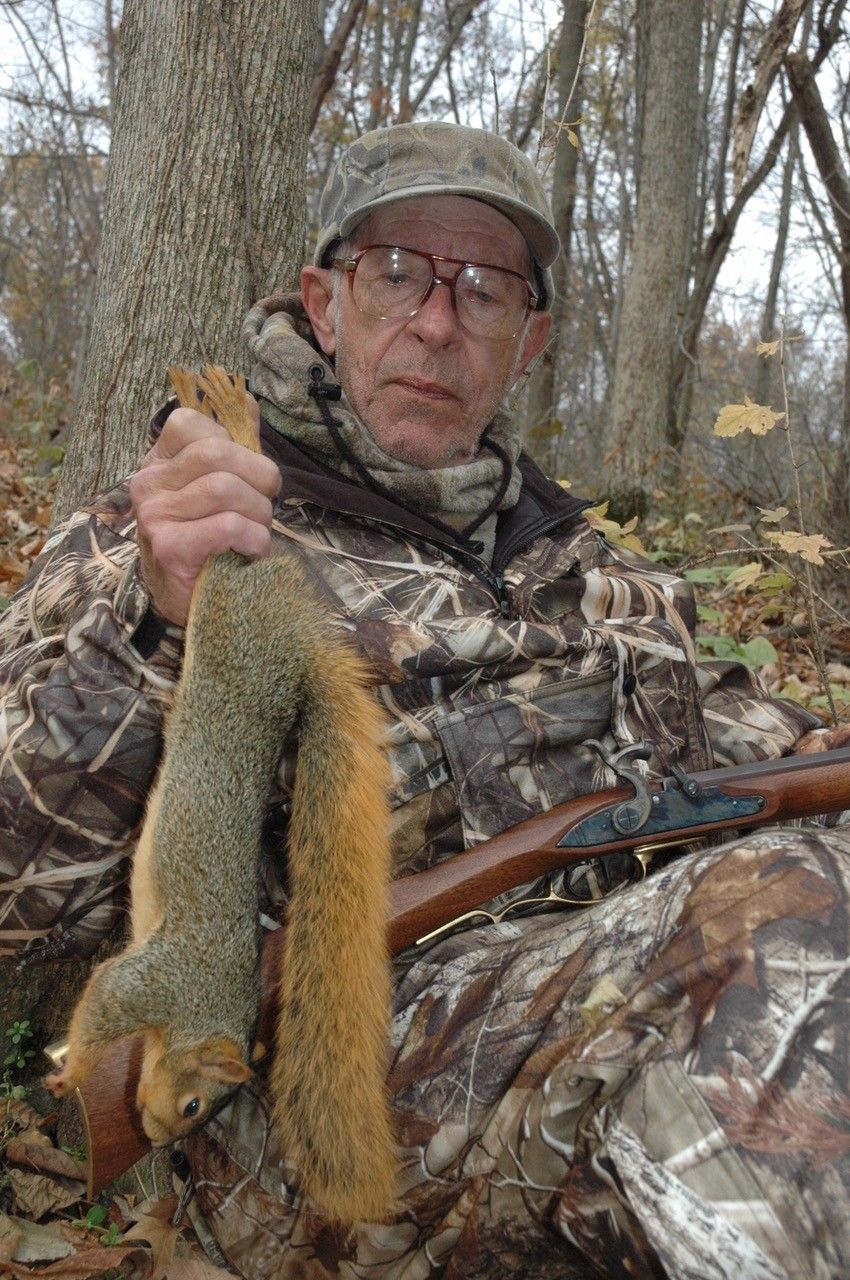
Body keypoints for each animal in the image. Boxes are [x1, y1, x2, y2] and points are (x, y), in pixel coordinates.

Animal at [45, 366, 397, 1224]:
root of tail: (299, 650)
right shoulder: (163, 978)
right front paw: (73, 1072)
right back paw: (234, 421)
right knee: (238, 536)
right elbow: (104, 999)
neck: (209, 1006)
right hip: (239, 602)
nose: (155, 1136)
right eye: (199, 1106)